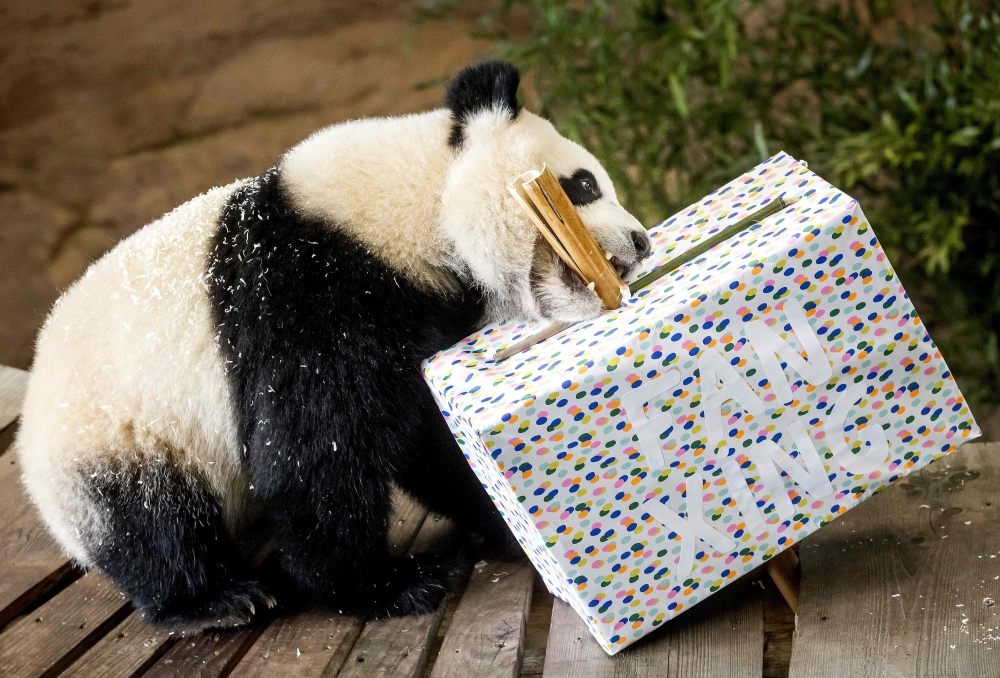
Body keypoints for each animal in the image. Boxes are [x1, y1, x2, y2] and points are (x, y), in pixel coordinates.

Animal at [16, 61, 651, 631]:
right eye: (584, 184)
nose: (642, 241)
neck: (413, 205)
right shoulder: (311, 289)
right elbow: (317, 450)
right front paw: (386, 586)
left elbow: (428, 439)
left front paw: (499, 521)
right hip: (112, 438)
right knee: (154, 521)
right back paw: (215, 601)